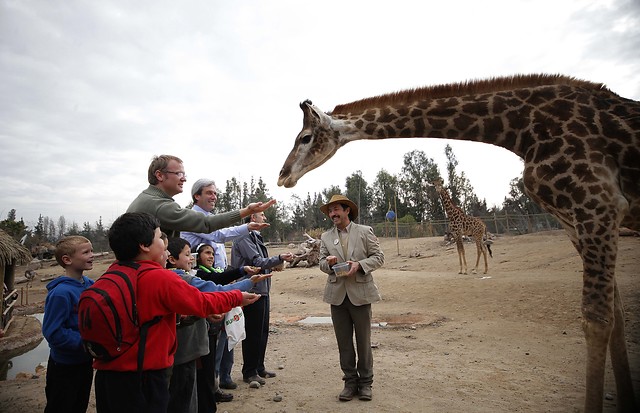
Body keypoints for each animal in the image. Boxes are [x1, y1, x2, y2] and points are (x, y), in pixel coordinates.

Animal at [276, 74, 640, 412]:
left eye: (305, 137)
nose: (282, 175)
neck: (522, 129)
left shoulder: (597, 207)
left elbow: (597, 319)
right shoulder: (576, 219)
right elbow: (616, 314)